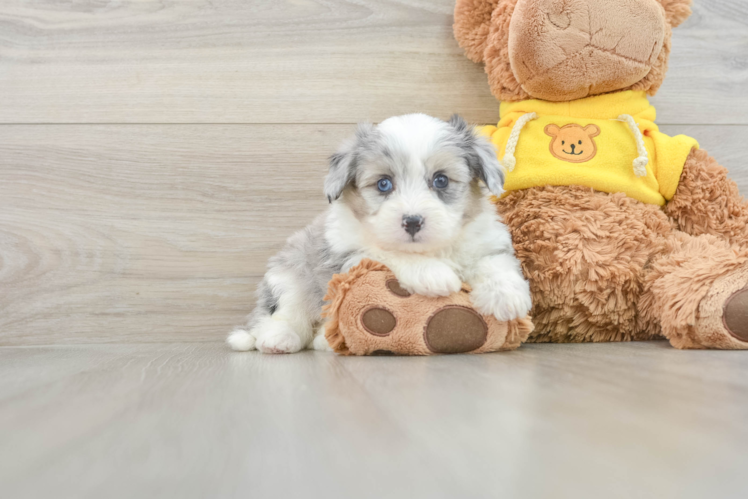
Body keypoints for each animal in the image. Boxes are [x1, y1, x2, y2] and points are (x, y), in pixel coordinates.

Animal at [228, 114, 532, 354]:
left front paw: (507, 296)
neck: (432, 249)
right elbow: (387, 251)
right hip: (289, 276)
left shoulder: (484, 240)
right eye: (384, 184)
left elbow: (494, 262)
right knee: (284, 314)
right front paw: (434, 274)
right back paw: (279, 339)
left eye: (441, 180)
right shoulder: (349, 253)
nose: (412, 222)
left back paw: (323, 340)